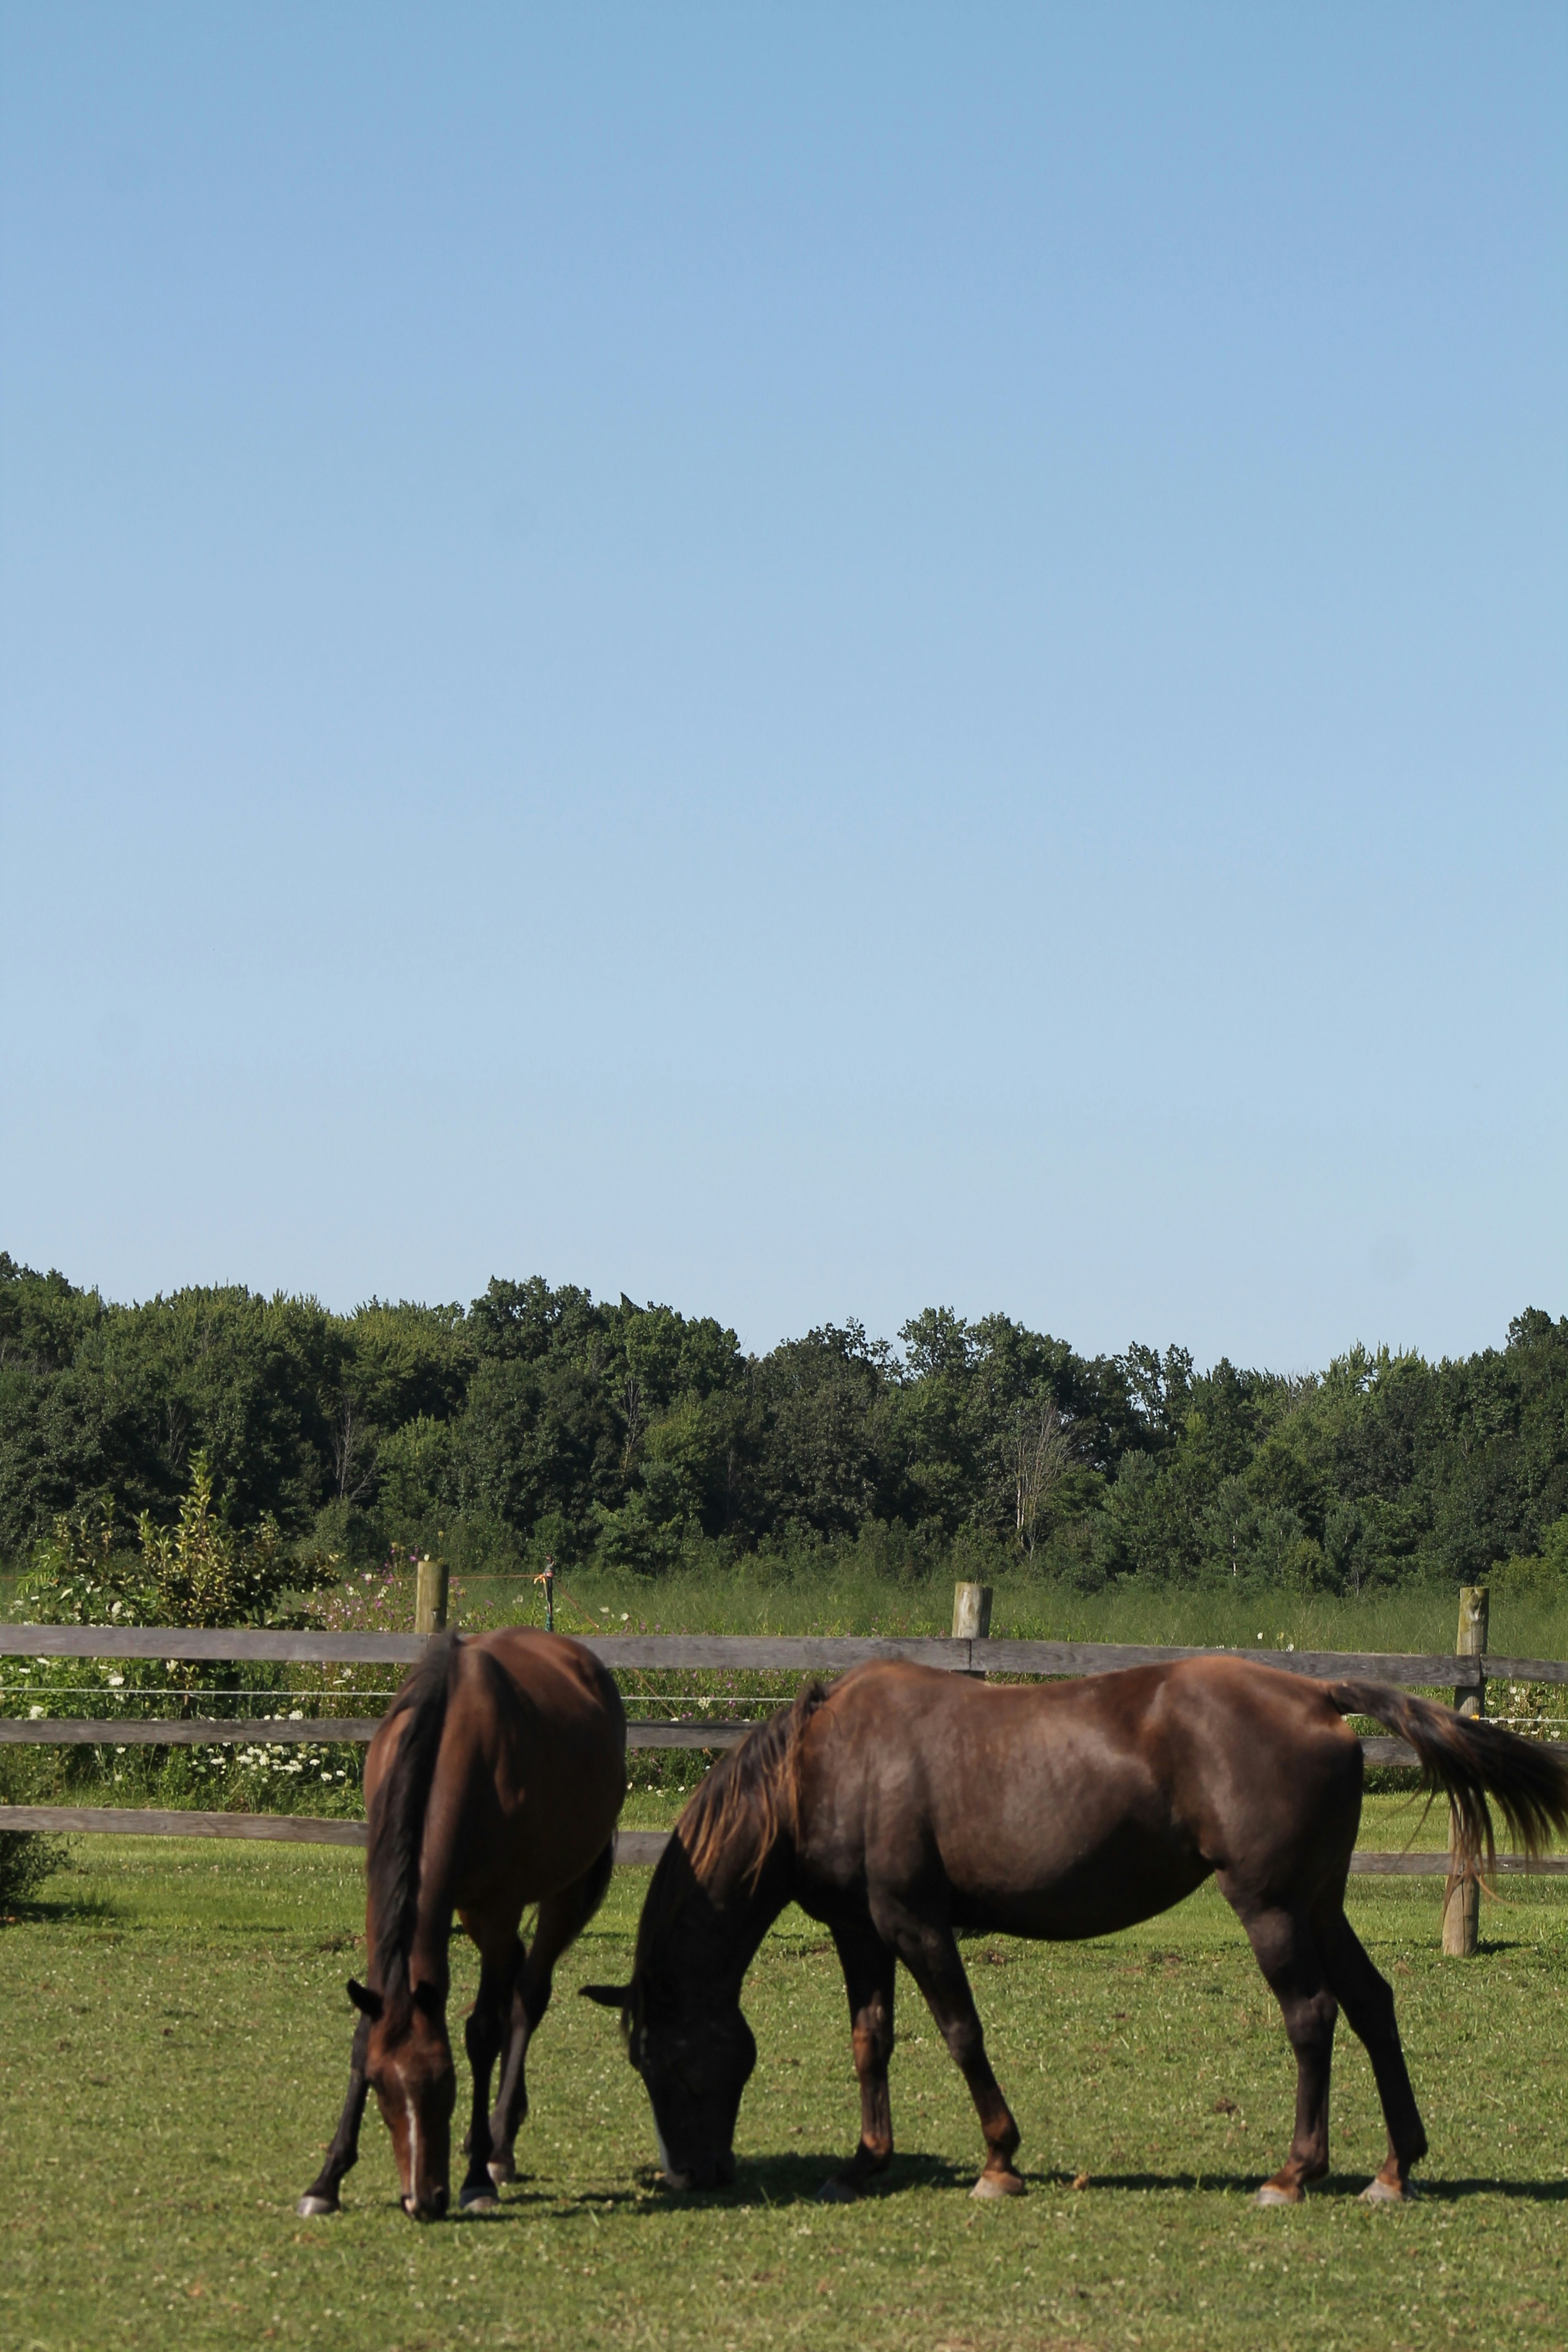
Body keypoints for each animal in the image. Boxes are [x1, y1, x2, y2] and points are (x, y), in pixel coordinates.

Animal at [299, 1627, 625, 2220]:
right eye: (380, 2087)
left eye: (445, 2085)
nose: (423, 2200)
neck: (453, 1746)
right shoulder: (384, 1900)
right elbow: (363, 2033)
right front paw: (326, 2180)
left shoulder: (499, 1907)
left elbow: (483, 2032)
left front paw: (475, 2179)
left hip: (561, 1892)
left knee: (527, 1996)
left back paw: (498, 2147)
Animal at [583, 1654, 1568, 2206]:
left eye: (667, 2061)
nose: (690, 2176)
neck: (823, 1767)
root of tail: (1317, 1692)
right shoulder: (860, 1933)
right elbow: (872, 2041)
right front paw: (863, 2164)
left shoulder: (912, 1922)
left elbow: (960, 2032)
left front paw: (999, 2160)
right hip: (1320, 1902)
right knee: (1371, 2004)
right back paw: (1395, 2169)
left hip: (1273, 1908)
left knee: (1313, 2017)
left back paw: (1294, 2172)